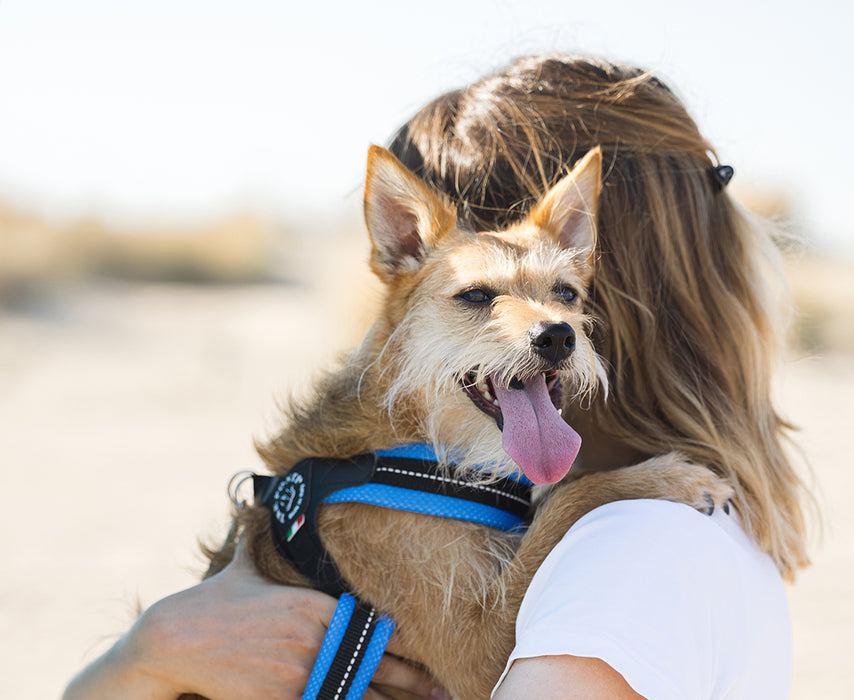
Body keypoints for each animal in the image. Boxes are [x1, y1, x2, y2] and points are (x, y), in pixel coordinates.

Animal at [201, 145, 736, 696]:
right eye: (476, 296)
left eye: (565, 293)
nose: (558, 336)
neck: (417, 441)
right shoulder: (473, 650)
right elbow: (570, 498)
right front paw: (668, 478)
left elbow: (561, 497)